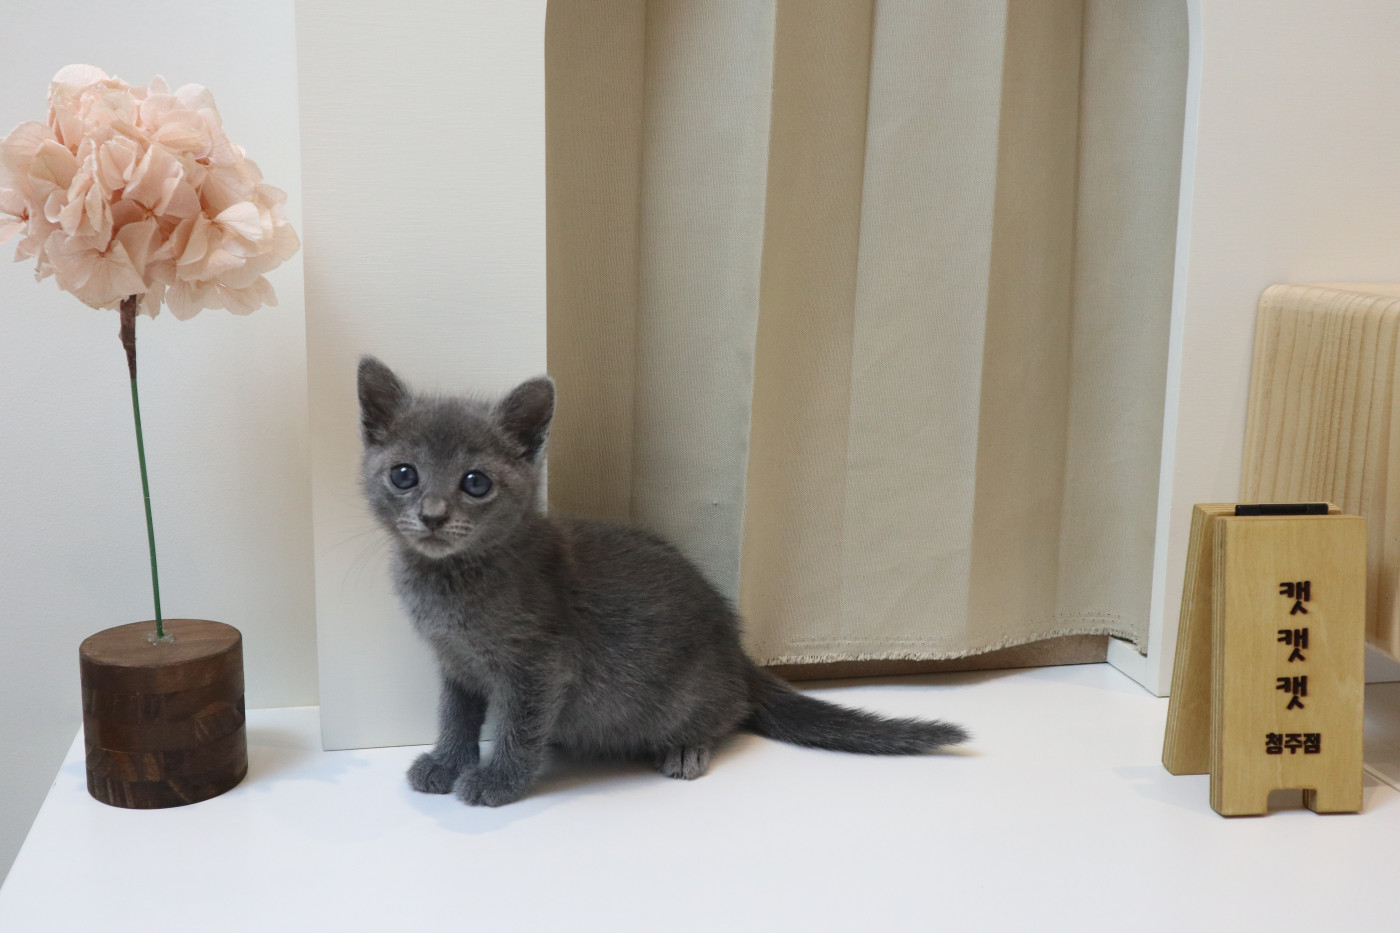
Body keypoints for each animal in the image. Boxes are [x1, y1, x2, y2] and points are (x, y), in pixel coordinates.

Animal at [358, 356, 969, 807]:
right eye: (404, 475)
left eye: (476, 483)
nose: (433, 515)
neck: (451, 579)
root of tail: (737, 650)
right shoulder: (455, 663)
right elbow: (456, 715)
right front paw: (445, 762)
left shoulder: (539, 665)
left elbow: (518, 726)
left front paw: (497, 780)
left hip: (684, 693)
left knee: (729, 712)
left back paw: (687, 750)